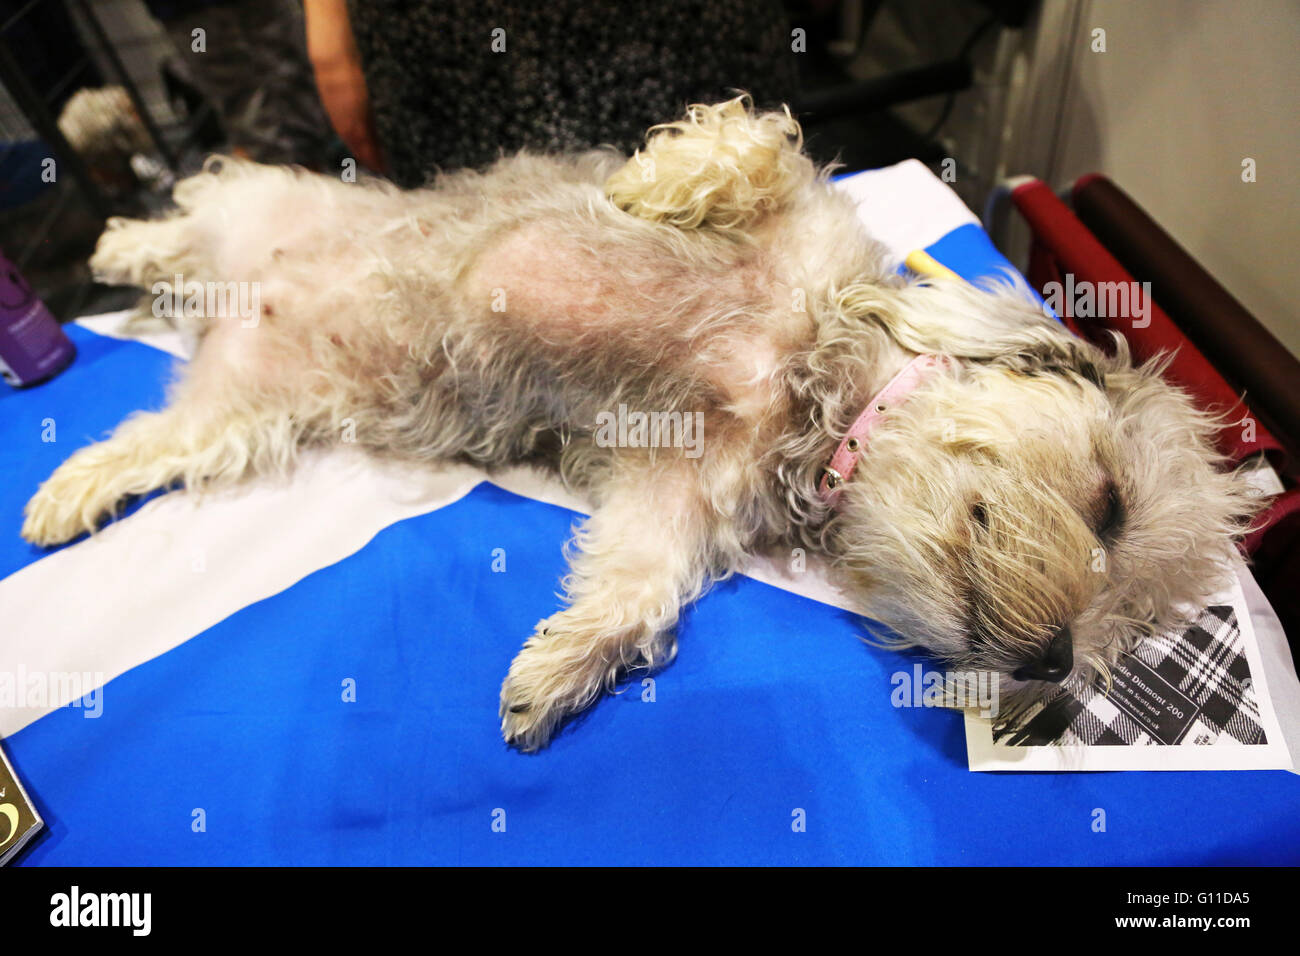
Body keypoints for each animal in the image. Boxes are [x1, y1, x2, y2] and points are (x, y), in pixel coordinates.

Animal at [20, 100, 1258, 749]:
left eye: (1125, 631)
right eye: (1109, 502)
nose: (1052, 660)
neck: (814, 391)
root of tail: (238, 304)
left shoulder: (682, 490)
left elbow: (637, 583)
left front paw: (560, 667)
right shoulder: (796, 210)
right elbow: (750, 145)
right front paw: (650, 188)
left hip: (237, 415)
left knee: (148, 437)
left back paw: (68, 487)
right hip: (265, 199)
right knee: (184, 218)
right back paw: (119, 244)